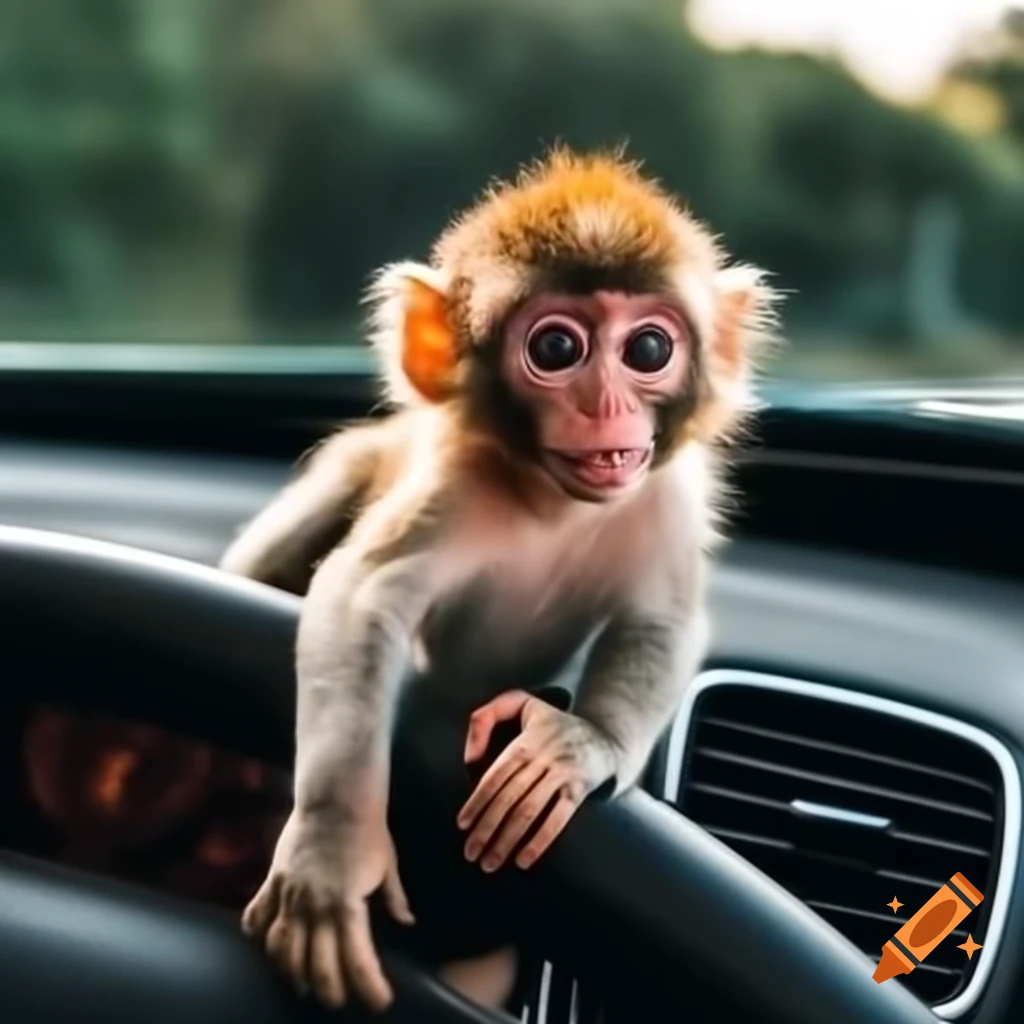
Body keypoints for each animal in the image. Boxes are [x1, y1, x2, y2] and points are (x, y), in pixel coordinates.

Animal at [220, 146, 778, 1014]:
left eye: (649, 351)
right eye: (555, 350)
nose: (605, 404)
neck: (551, 501)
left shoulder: (664, 496)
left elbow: (662, 620)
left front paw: (579, 740)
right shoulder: (454, 482)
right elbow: (362, 599)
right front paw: (333, 851)